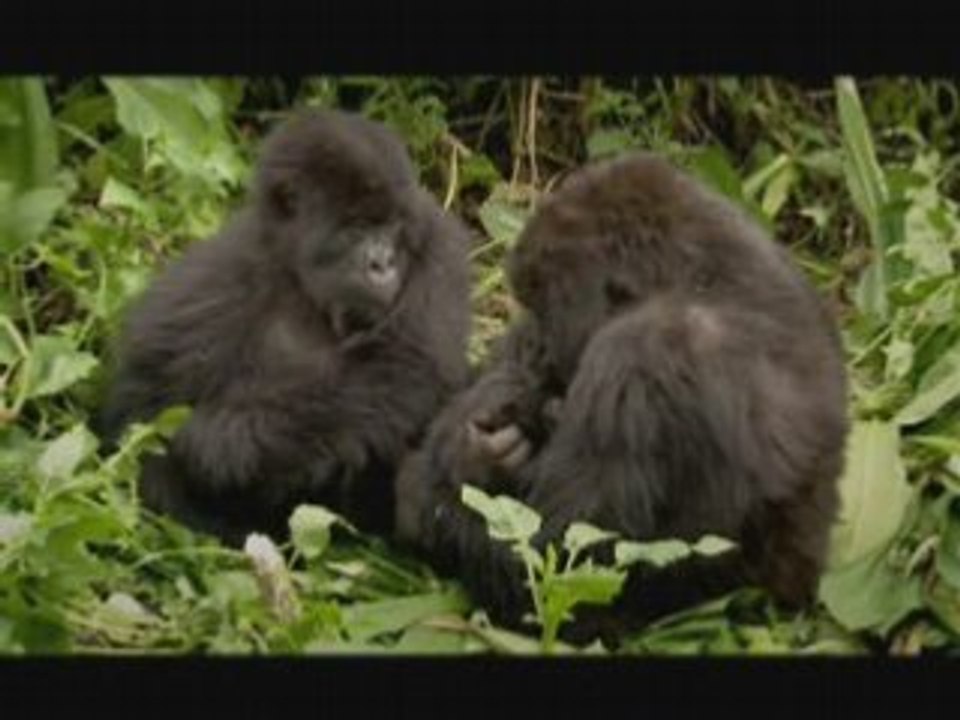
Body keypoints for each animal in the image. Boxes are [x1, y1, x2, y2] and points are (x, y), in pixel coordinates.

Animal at [97, 109, 472, 545]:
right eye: (356, 227)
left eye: (391, 226)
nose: (383, 264)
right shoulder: (218, 274)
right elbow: (144, 400)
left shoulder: (438, 244)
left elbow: (406, 367)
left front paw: (218, 441)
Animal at [395, 152, 849, 639]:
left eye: (542, 307)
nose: (535, 346)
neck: (704, 280)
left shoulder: (641, 355)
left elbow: (562, 567)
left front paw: (457, 469)